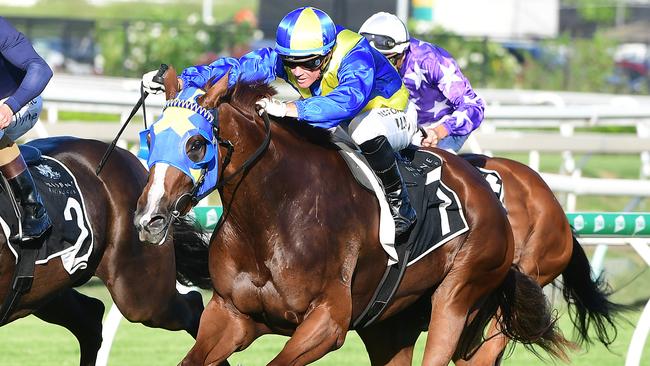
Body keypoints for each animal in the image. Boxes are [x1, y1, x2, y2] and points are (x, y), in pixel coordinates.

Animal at [134, 67, 568, 364]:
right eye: (150, 137)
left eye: (195, 144)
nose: (149, 219)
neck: (273, 215)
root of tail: (484, 187)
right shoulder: (231, 314)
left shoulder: (327, 322)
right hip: (392, 323)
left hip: (459, 295)